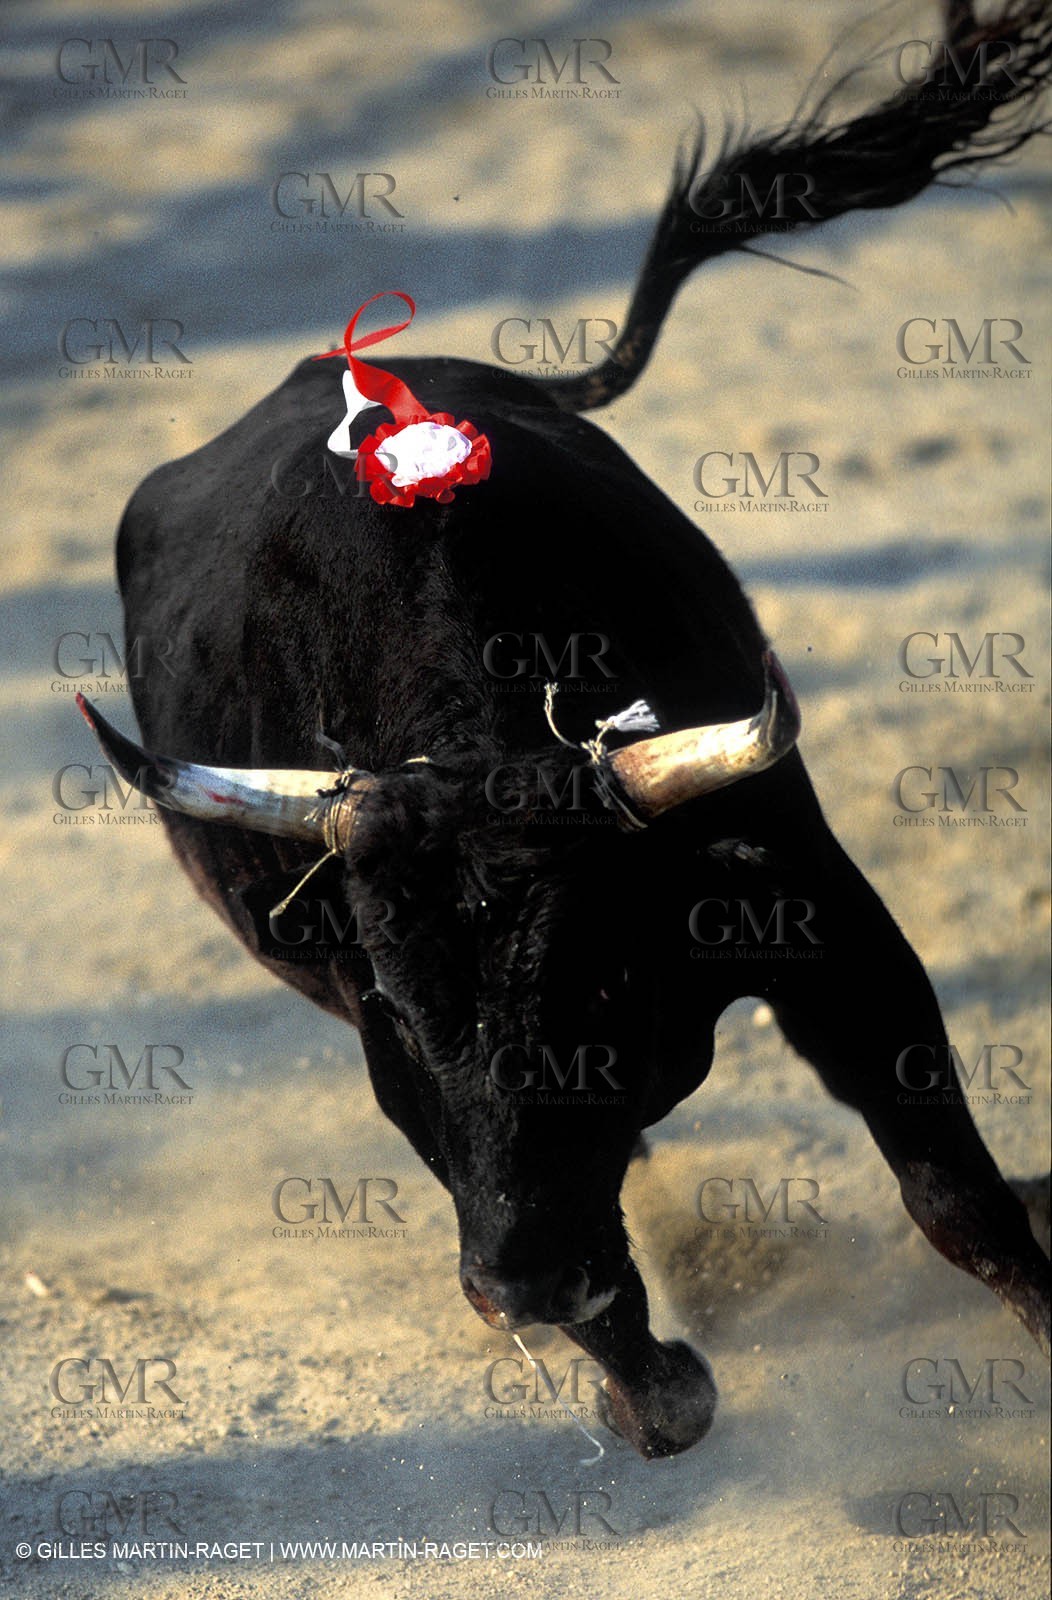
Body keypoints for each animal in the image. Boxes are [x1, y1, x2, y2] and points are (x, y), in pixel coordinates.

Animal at [79, 1, 1050, 1460]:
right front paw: (647, 1383)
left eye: (590, 990)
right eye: (400, 1006)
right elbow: (646, 1353)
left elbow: (958, 1199)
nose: (516, 1284)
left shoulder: (829, 921)